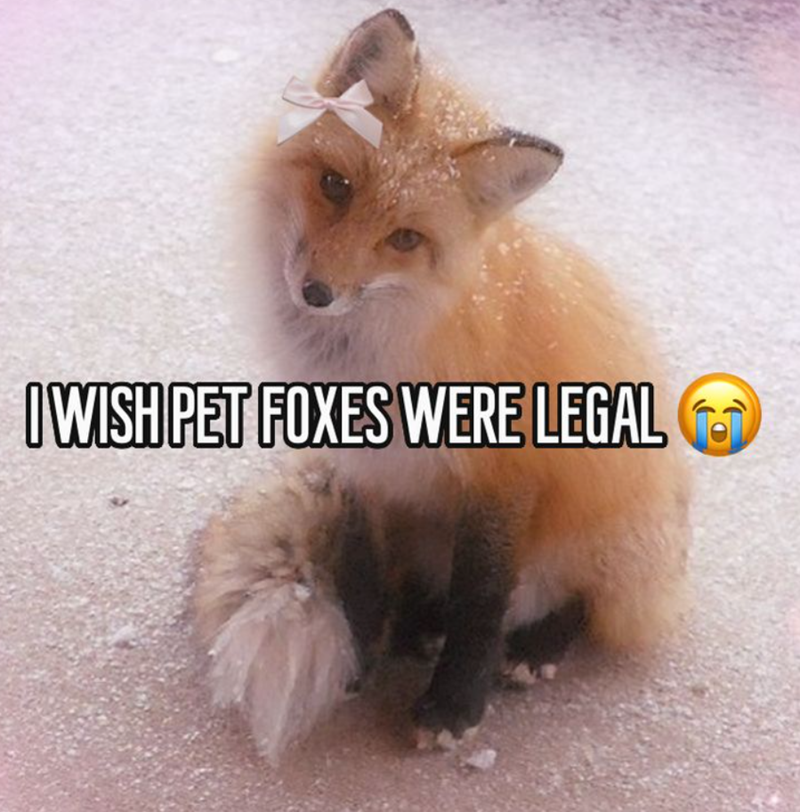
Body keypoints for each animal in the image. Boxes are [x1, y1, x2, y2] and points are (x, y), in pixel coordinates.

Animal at [195, 8, 690, 758]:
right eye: (335, 186)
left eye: (404, 240)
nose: (316, 293)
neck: (363, 356)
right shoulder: (361, 469)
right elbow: (361, 568)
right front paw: (362, 654)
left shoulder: (505, 474)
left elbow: (481, 597)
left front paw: (455, 706)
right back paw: (418, 626)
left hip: (606, 527)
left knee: (591, 603)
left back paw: (535, 645)